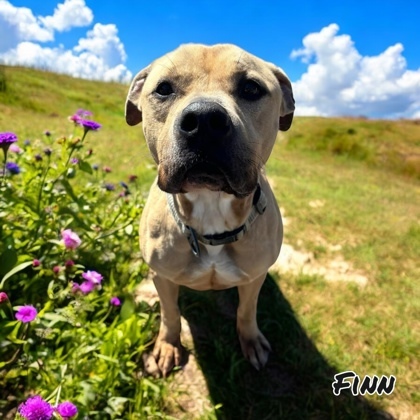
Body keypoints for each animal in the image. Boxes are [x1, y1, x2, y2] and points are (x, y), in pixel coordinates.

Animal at [126, 43, 294, 378]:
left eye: (251, 88)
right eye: (163, 89)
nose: (203, 120)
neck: (210, 206)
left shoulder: (254, 277)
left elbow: (246, 310)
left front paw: (250, 340)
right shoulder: (162, 277)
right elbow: (170, 313)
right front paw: (168, 345)